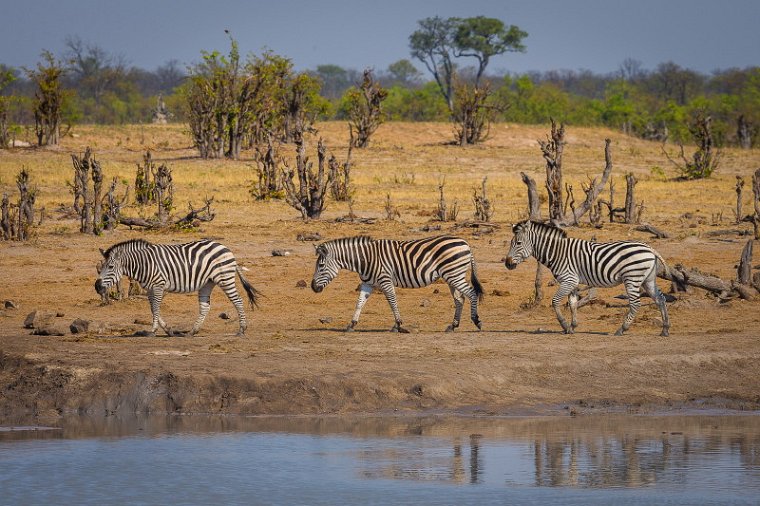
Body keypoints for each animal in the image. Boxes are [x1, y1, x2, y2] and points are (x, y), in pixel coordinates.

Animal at [94, 240, 262, 338]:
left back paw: (242, 329)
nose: (97, 287)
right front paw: (168, 330)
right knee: (205, 306)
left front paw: (153, 330)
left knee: (238, 300)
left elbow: (156, 307)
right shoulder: (149, 288)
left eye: (110, 267)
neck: (144, 263)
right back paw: (193, 331)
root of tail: (225, 247)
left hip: (225, 278)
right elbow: (153, 308)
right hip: (207, 283)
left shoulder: (158, 284)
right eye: (102, 266)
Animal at [310, 236, 484, 334]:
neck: (365, 259)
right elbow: (359, 303)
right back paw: (453, 326)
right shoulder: (367, 284)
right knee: (459, 299)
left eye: (321, 266)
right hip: (452, 276)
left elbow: (392, 302)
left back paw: (476, 321)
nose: (312, 287)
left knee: (471, 293)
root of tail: (466, 243)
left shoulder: (385, 280)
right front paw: (351, 325)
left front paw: (398, 325)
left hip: (454, 274)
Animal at [504, 220, 672, 336]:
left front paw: (564, 325)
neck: (557, 252)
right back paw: (665, 329)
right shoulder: (573, 282)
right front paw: (572, 327)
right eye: (511, 243)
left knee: (636, 304)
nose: (507, 263)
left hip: (632, 278)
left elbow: (556, 301)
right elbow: (572, 304)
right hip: (648, 280)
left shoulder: (568, 279)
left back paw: (621, 329)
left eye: (518, 243)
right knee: (660, 299)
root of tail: (649, 248)